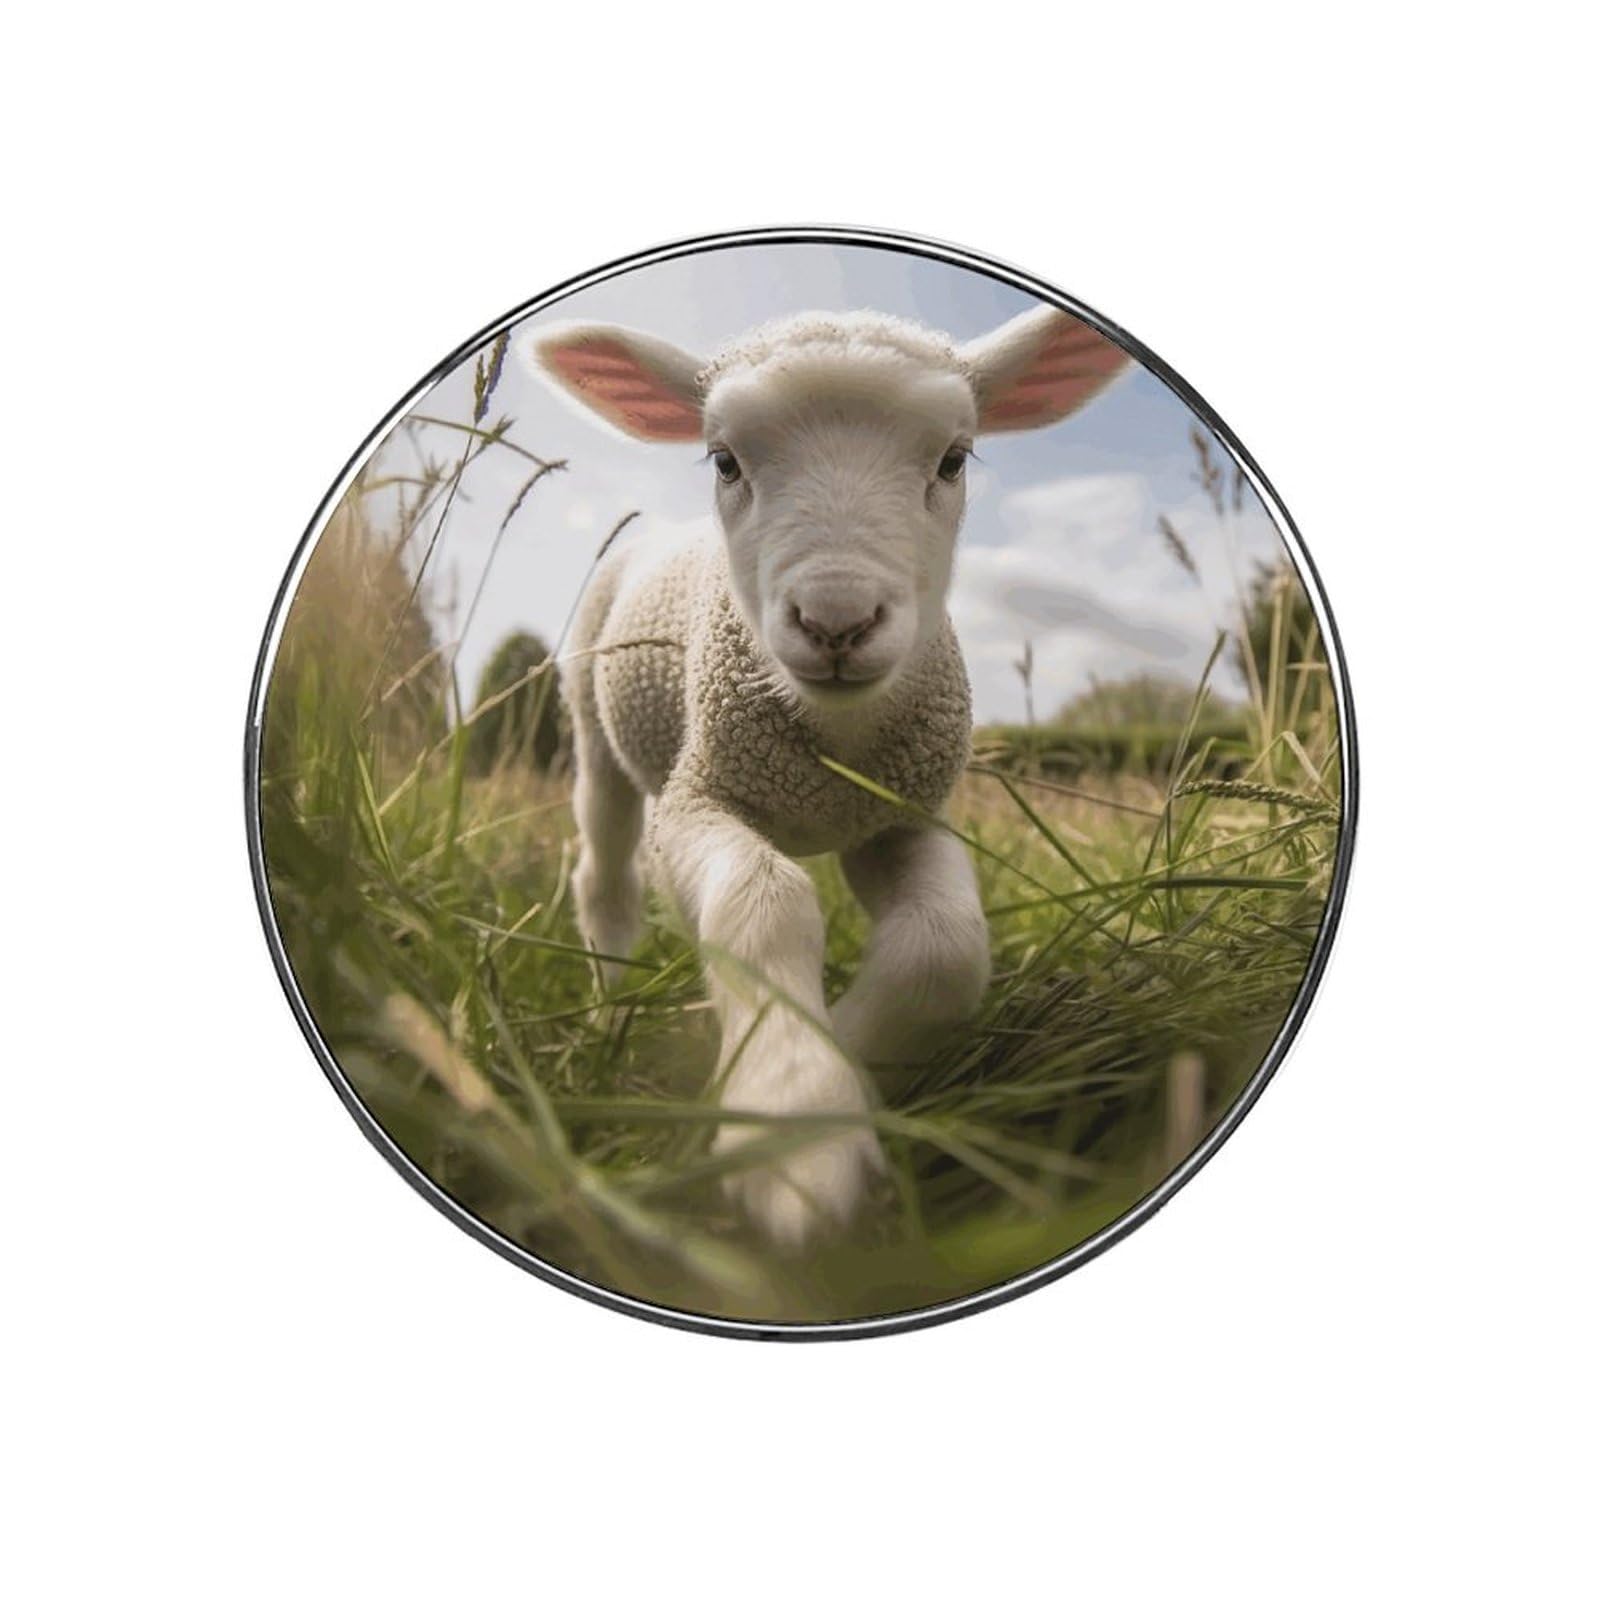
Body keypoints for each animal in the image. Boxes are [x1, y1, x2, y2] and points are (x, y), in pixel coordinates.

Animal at [526, 302, 1130, 1247]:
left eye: (954, 458)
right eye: (725, 460)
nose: (835, 621)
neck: (833, 749)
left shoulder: (903, 814)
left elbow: (944, 948)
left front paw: (850, 1053)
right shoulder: (697, 798)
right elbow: (763, 901)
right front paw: (795, 1124)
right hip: (596, 728)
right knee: (607, 878)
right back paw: (610, 1016)